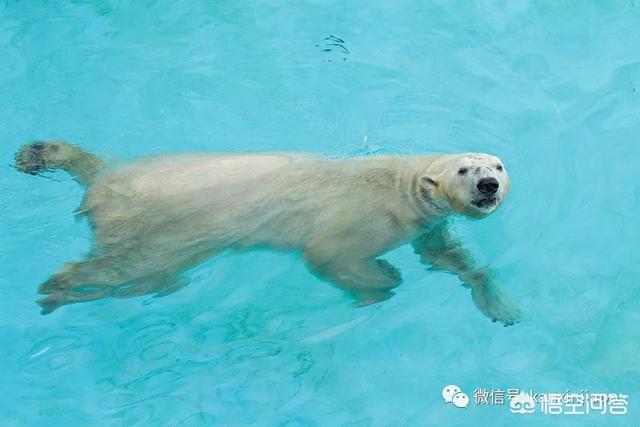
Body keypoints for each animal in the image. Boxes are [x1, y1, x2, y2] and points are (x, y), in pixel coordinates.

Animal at [15, 140, 520, 324]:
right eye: (465, 169)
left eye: (497, 165)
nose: (489, 185)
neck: (404, 183)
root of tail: (103, 184)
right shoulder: (370, 215)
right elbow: (326, 254)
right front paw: (383, 277)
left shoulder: (425, 222)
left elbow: (445, 256)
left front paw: (501, 305)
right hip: (160, 228)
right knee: (131, 270)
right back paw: (56, 289)